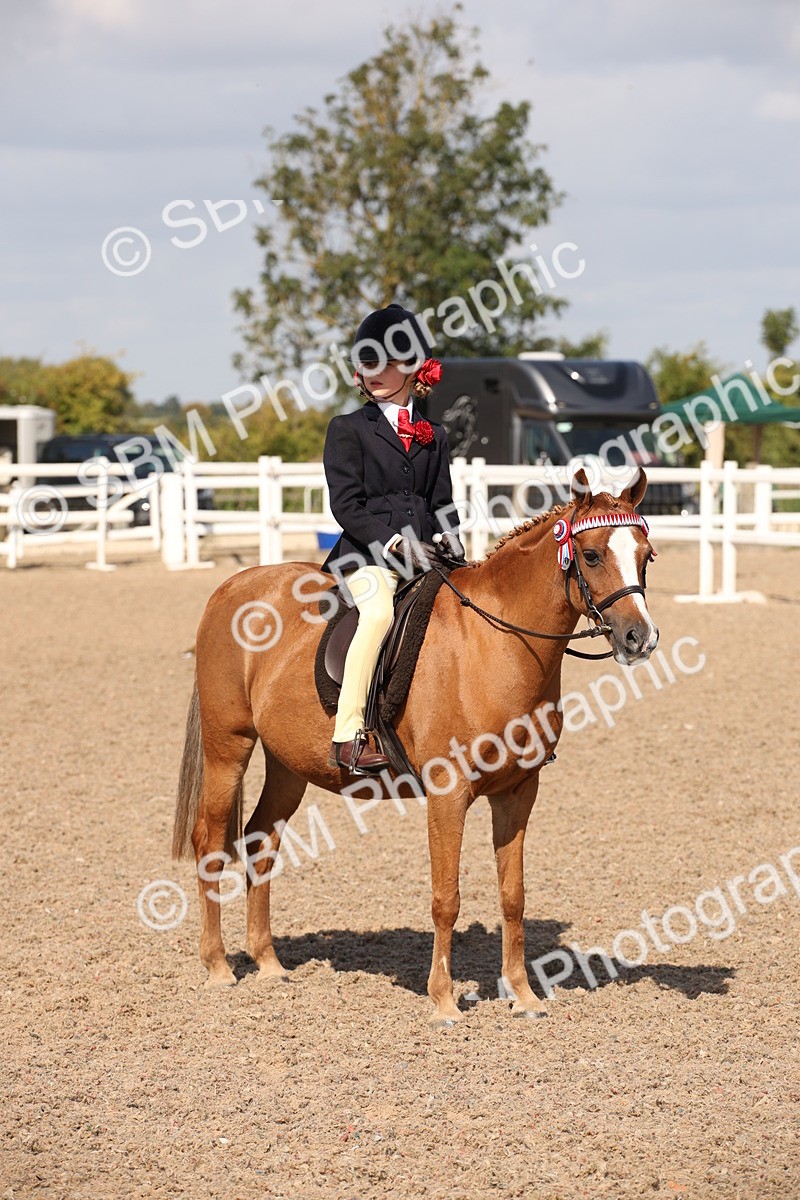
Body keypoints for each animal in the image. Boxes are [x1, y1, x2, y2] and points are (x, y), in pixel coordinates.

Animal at [172, 468, 659, 1024]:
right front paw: (444, 1000)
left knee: (260, 841)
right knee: (210, 842)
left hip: (288, 764)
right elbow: (446, 897)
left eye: (646, 555)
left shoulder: (518, 792)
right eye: (593, 555)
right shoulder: (448, 794)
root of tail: (232, 586)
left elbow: (512, 896)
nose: (640, 638)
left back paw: (268, 963)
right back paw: (218, 966)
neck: (496, 643)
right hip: (227, 747)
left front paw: (523, 995)